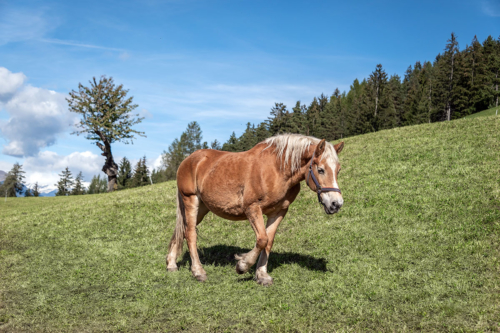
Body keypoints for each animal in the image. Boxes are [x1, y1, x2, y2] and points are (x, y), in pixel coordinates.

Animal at [165, 134, 344, 284]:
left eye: (338, 170)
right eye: (320, 169)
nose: (336, 203)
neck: (277, 169)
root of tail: (189, 160)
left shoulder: (278, 212)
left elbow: (268, 241)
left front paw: (262, 275)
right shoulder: (252, 208)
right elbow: (262, 239)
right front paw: (243, 265)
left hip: (202, 208)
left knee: (182, 231)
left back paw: (171, 264)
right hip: (191, 200)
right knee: (190, 234)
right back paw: (198, 271)